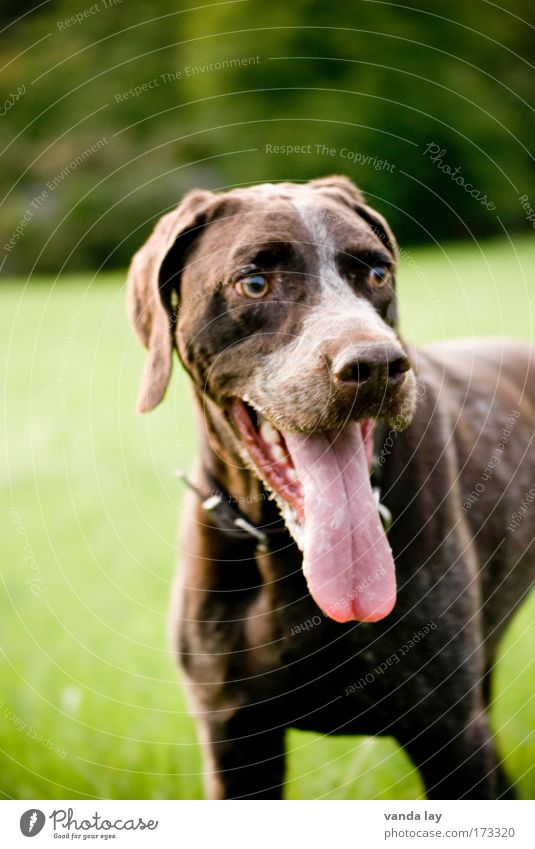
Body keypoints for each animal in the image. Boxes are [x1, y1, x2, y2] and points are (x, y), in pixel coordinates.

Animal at [126, 176, 535, 800]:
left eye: (378, 274)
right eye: (254, 283)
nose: (377, 365)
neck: (284, 557)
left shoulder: (449, 730)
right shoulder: (234, 740)